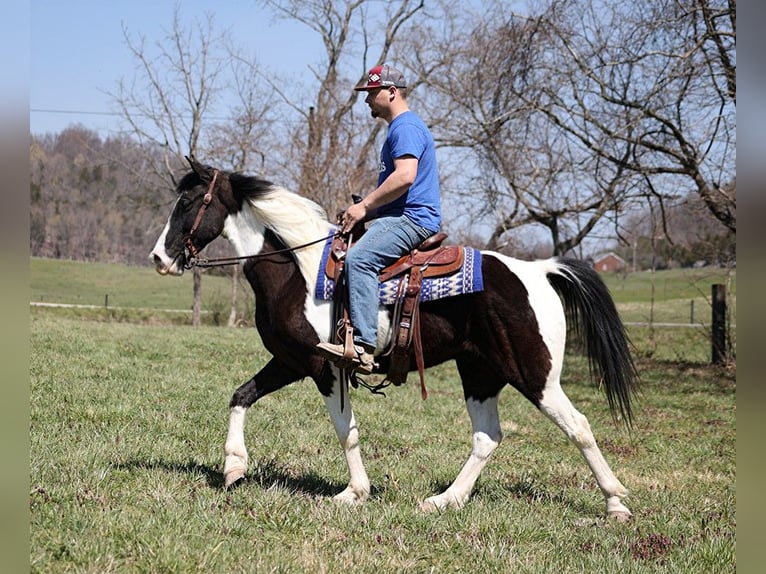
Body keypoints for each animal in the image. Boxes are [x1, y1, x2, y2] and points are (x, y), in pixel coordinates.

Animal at [150, 158, 640, 520]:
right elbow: (241, 396)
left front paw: (354, 492)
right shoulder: (291, 361)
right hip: (480, 374)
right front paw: (234, 467)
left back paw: (616, 503)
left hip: (536, 377)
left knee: (578, 426)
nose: (158, 258)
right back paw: (445, 500)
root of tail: (540, 270)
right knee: (487, 437)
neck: (297, 270)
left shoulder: (325, 367)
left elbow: (345, 430)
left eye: (189, 201)